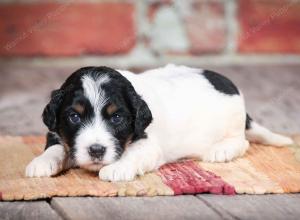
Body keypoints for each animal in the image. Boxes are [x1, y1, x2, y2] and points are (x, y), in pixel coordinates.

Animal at [25, 63, 292, 180]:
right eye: (74, 116)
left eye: (117, 117)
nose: (96, 150)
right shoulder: (57, 132)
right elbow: (56, 147)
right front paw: (42, 162)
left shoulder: (149, 145)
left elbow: (132, 154)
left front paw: (117, 168)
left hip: (232, 125)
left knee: (242, 142)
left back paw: (221, 150)